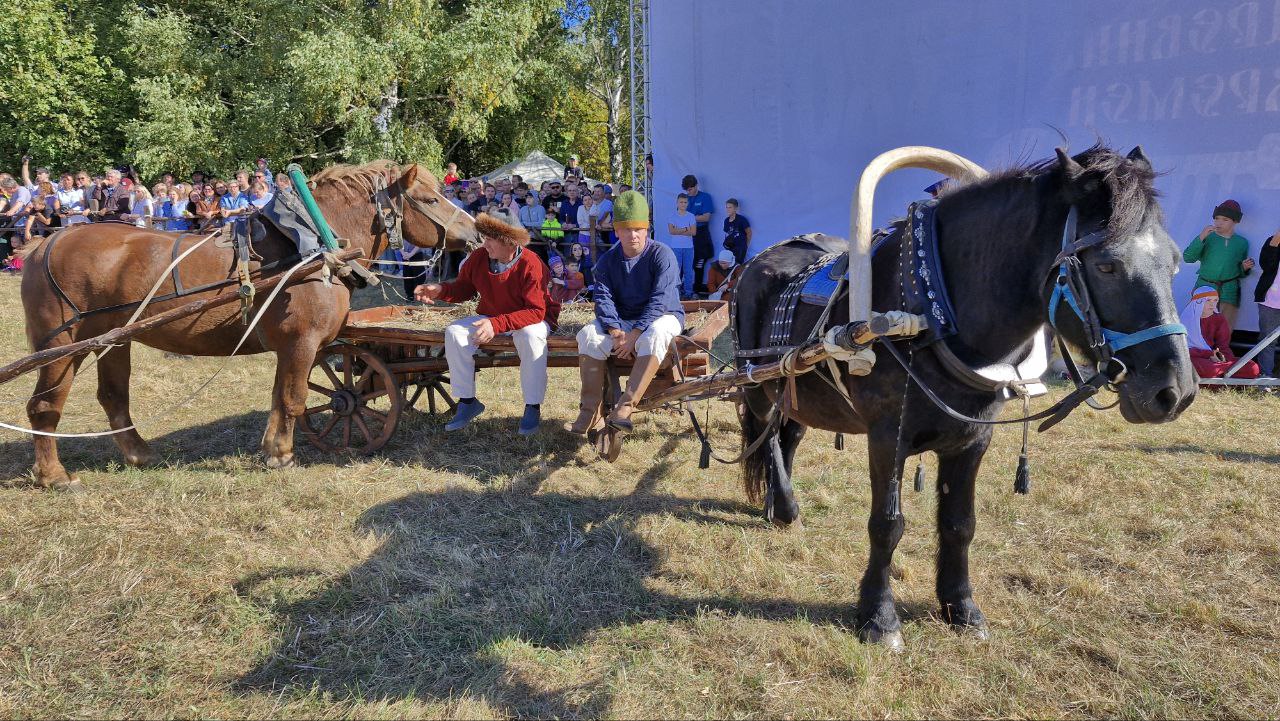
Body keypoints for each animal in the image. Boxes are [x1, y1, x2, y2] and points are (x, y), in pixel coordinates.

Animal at [20, 162, 476, 491]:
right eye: (430, 198)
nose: (474, 229)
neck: (314, 248)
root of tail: (46, 243)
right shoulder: (302, 343)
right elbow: (293, 399)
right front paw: (283, 455)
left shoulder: (290, 348)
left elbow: (278, 397)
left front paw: (271, 448)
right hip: (63, 348)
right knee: (45, 406)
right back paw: (54, 476)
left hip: (114, 341)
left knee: (113, 397)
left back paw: (139, 454)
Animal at [737, 145, 1192, 648]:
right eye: (1107, 264)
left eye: (1174, 261)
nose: (1174, 391)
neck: (931, 310)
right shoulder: (887, 437)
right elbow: (887, 525)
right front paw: (878, 616)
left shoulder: (972, 440)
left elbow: (959, 524)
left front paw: (962, 609)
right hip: (757, 385)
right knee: (767, 438)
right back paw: (782, 502)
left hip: (797, 392)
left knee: (790, 435)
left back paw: (781, 506)